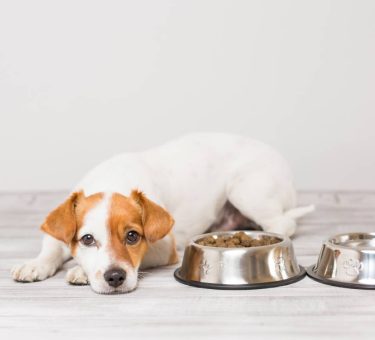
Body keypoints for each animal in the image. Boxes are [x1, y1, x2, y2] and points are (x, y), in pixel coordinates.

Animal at [10, 134, 314, 294]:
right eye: (87, 239)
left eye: (133, 236)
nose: (115, 277)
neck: (111, 181)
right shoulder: (60, 232)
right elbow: (51, 248)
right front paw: (35, 265)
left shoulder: (164, 247)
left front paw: (80, 271)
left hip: (246, 191)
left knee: (283, 223)